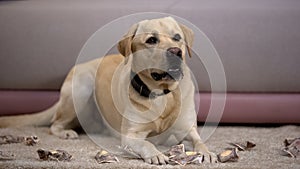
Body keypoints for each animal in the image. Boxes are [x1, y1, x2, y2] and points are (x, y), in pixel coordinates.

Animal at [0, 16, 216, 164]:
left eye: (177, 38)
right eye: (151, 40)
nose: (176, 52)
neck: (162, 94)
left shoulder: (188, 129)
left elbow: (199, 141)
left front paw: (206, 152)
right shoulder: (131, 136)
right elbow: (146, 143)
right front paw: (155, 154)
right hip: (81, 89)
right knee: (54, 123)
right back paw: (66, 132)